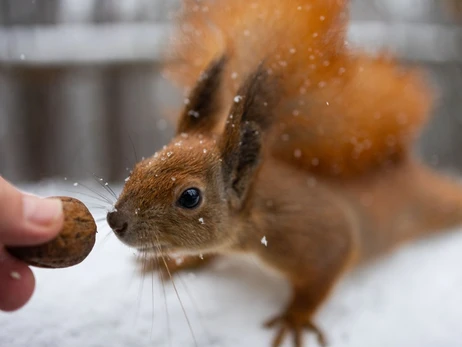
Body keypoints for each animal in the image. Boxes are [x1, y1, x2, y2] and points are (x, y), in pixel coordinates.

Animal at [106, 1, 462, 346]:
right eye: (138, 167)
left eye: (190, 197)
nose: (114, 220)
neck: (255, 210)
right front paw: (177, 262)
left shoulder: (308, 230)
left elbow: (331, 263)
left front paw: (295, 318)